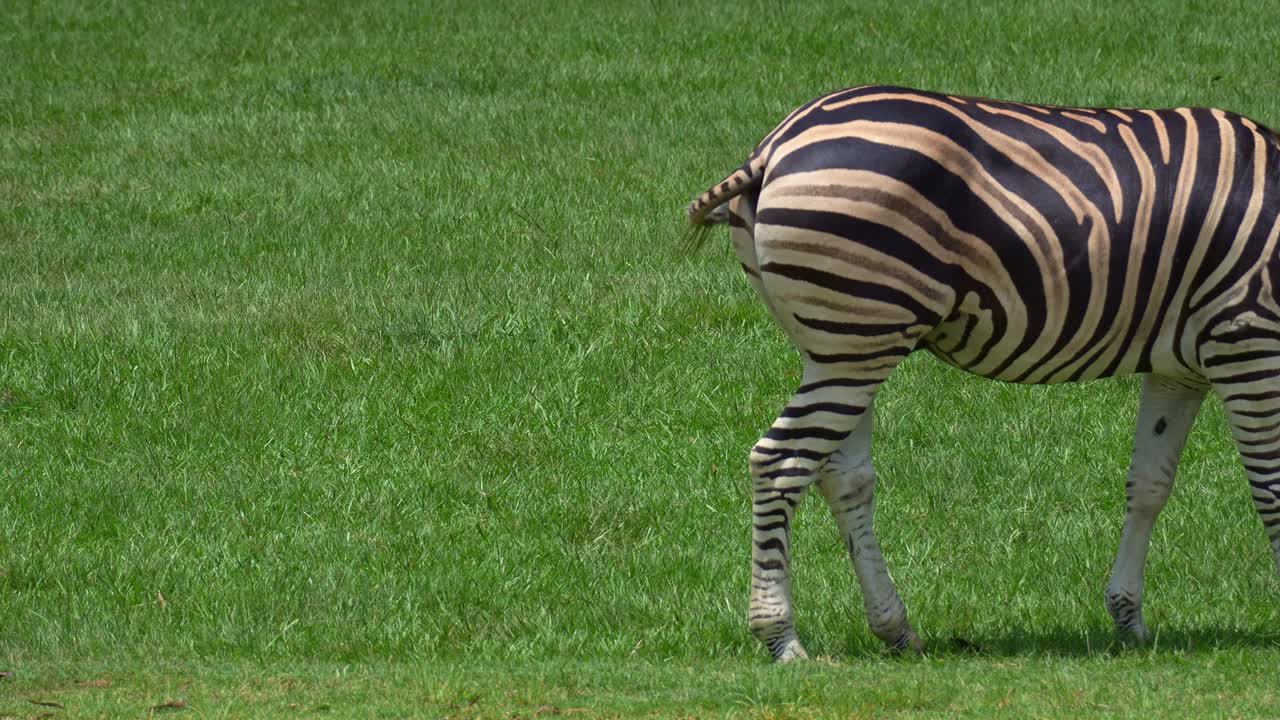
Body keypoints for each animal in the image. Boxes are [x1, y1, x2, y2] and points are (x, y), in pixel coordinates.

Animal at [684, 85, 1280, 662]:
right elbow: (1270, 486)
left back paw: (895, 629)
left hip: (842, 350)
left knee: (843, 476)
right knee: (780, 463)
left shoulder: (1179, 369)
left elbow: (1150, 484)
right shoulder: (1248, 342)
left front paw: (1127, 616)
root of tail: (777, 144)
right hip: (855, 341)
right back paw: (782, 637)